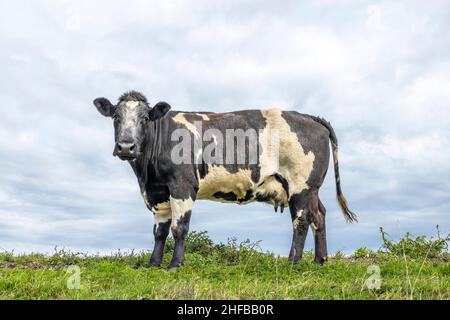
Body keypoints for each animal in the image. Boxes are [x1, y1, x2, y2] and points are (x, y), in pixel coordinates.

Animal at [93, 90, 356, 270]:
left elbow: (179, 228)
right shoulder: (157, 192)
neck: (146, 173)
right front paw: (153, 264)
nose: (126, 146)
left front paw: (175, 264)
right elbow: (160, 232)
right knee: (318, 215)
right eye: (115, 117)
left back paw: (293, 262)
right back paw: (320, 260)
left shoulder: (182, 185)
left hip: (300, 185)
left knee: (301, 221)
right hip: (311, 188)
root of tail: (310, 117)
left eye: (145, 118)